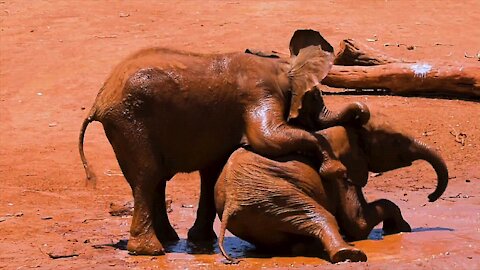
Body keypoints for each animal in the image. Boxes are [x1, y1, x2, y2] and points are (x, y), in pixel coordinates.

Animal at [216, 121, 448, 264]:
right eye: (397, 141)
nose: (430, 197)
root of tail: (231, 205)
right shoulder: (342, 174)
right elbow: (358, 223)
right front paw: (402, 228)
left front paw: (399, 229)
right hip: (275, 195)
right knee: (322, 216)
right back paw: (350, 254)